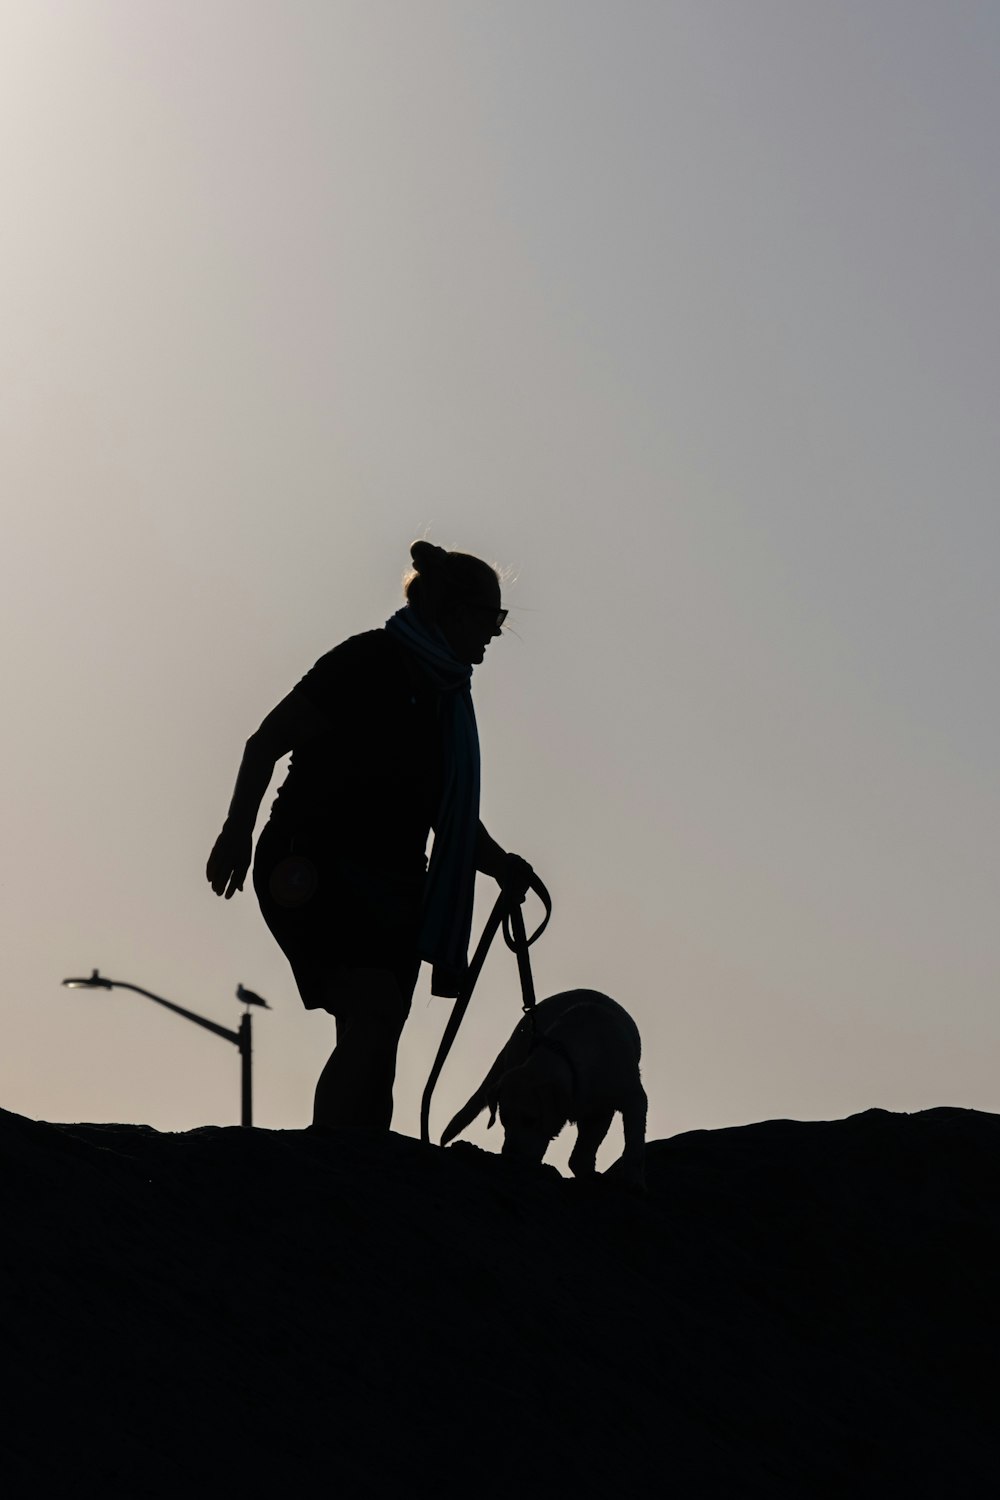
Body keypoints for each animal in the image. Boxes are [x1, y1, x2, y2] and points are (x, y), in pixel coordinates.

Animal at [440, 990, 644, 1188]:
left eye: (530, 1120)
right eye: (504, 1120)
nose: (509, 1156)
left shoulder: (627, 1100)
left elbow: (633, 1142)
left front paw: (632, 1178)